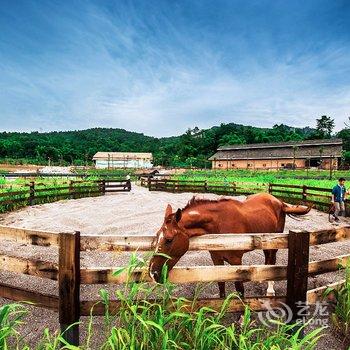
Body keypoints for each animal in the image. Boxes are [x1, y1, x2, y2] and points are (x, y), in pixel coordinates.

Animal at [149, 193, 310, 296]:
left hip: (275, 241)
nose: (152, 273)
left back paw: (270, 289)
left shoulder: (236, 261)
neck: (219, 226)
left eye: (169, 239)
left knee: (272, 259)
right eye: (157, 236)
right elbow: (221, 283)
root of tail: (279, 202)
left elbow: (239, 287)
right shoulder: (217, 259)